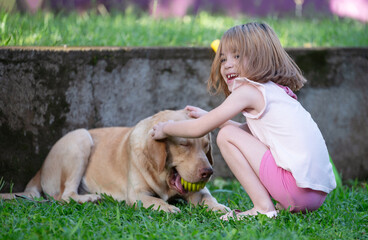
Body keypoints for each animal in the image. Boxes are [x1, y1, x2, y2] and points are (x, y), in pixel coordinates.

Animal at [0, 109, 230, 213]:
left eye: (206, 147)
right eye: (184, 144)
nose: (208, 172)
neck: (163, 177)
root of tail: (40, 168)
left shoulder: (200, 191)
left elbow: (209, 199)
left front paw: (221, 208)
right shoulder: (137, 194)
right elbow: (156, 200)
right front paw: (167, 208)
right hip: (80, 138)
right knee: (63, 196)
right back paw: (90, 198)